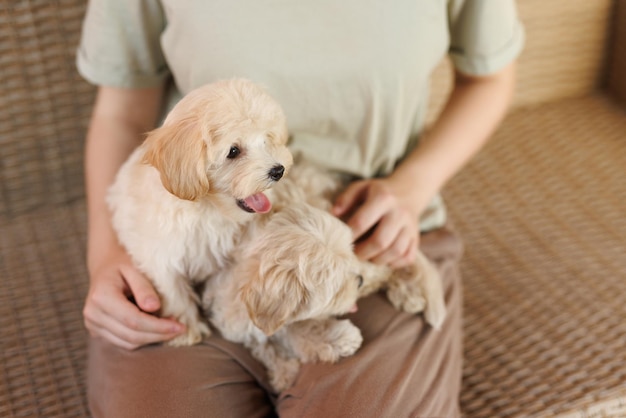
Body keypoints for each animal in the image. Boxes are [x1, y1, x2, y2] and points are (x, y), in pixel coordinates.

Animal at [107, 78, 292, 346]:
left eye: (266, 139)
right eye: (233, 151)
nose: (278, 170)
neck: (208, 210)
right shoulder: (160, 256)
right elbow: (173, 290)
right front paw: (186, 330)